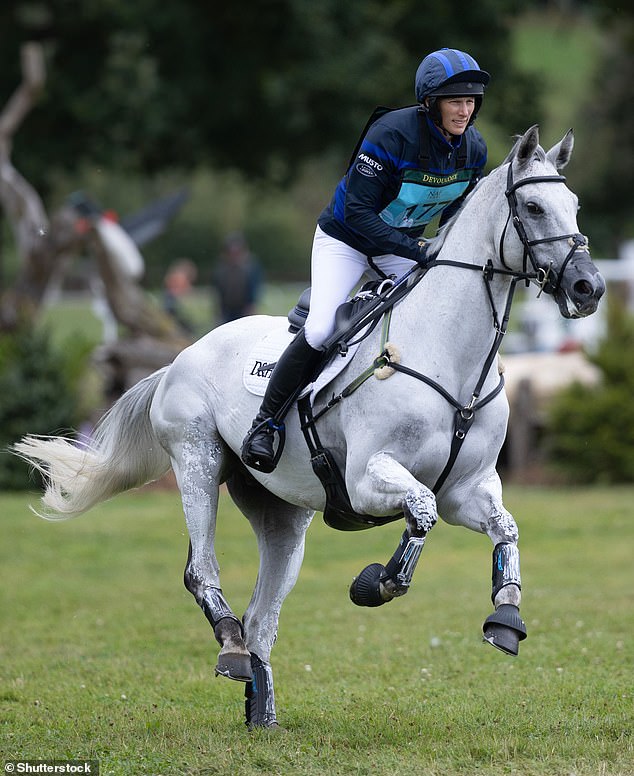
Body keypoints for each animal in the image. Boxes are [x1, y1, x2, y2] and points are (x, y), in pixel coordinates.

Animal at [11, 127, 604, 728]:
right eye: (533, 207)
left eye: (574, 205)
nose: (589, 288)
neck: (448, 359)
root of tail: (182, 355)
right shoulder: (367, 481)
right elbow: (421, 512)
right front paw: (375, 584)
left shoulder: (467, 489)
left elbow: (505, 527)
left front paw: (505, 620)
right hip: (197, 461)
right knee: (202, 571)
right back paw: (231, 650)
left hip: (282, 515)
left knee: (262, 617)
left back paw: (262, 714)